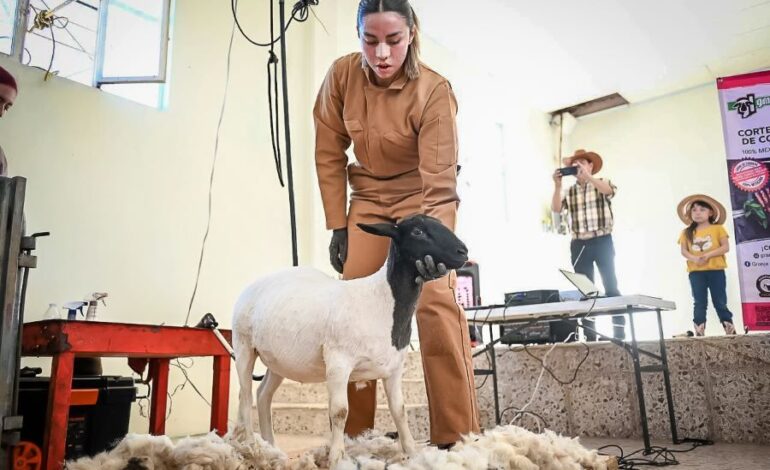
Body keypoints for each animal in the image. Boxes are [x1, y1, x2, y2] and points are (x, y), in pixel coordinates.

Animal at [230, 215, 468, 468]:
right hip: (243, 345)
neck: (383, 301)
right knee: (245, 395)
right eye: (417, 232)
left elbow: (399, 410)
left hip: (278, 361)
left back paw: (271, 450)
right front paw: (336, 457)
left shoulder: (394, 368)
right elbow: (339, 411)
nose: (463, 251)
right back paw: (250, 447)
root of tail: (256, 284)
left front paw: (412, 453)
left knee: (262, 395)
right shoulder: (338, 362)